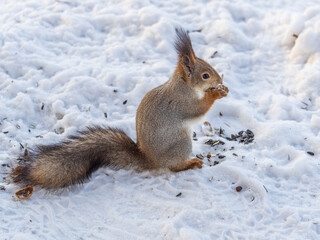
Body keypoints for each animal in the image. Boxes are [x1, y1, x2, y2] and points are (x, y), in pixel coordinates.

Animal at [11, 27, 229, 189]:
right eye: (205, 75)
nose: (220, 80)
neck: (183, 85)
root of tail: (149, 160)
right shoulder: (181, 103)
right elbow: (197, 110)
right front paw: (216, 93)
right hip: (181, 143)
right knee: (172, 167)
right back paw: (190, 163)